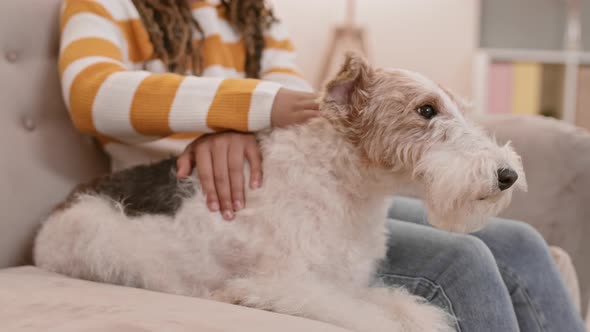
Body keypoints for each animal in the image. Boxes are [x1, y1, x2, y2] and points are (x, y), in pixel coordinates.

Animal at [33, 54, 528, 332]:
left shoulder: (345, 283)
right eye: (426, 110)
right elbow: (375, 319)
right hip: (106, 241)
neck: (344, 186)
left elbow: (405, 308)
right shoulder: (296, 285)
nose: (506, 175)